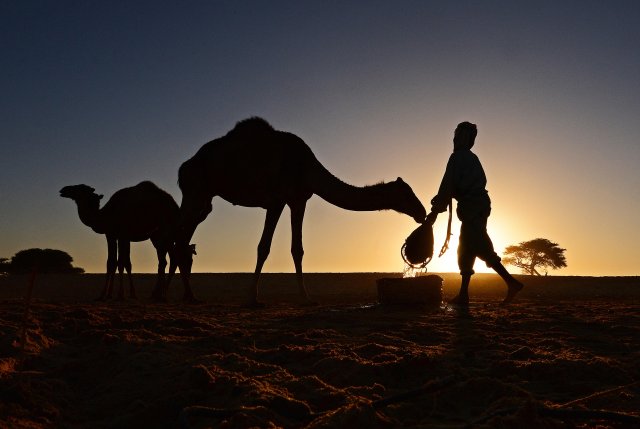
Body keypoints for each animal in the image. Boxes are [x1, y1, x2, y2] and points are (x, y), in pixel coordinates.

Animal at [172, 117, 428, 304]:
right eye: (406, 193)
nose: (422, 212)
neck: (307, 168)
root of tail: (184, 166)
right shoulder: (276, 200)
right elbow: (263, 247)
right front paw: (252, 297)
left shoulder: (298, 200)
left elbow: (298, 249)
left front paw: (305, 296)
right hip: (195, 191)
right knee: (179, 236)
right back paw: (185, 296)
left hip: (205, 200)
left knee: (183, 239)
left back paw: (186, 295)